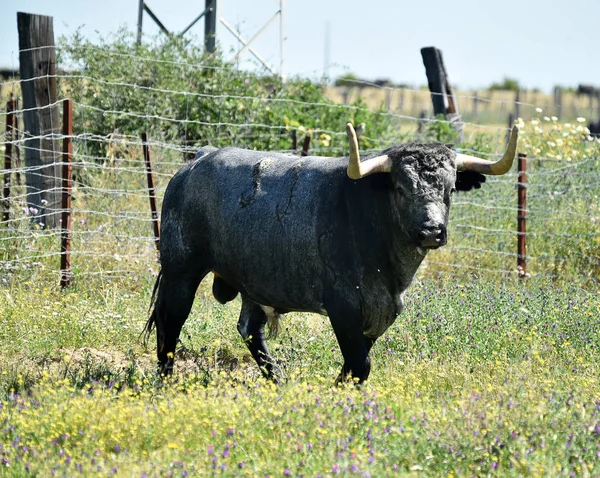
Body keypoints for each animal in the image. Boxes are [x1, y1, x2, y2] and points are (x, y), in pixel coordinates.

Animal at [144, 129, 516, 382]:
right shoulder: (343, 306)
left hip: (254, 281)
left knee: (250, 329)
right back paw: (165, 380)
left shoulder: (380, 313)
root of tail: (198, 159)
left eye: (450, 189)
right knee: (170, 322)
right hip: (181, 270)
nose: (431, 231)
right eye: (400, 188)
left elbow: (356, 363)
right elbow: (360, 365)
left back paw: (278, 380)